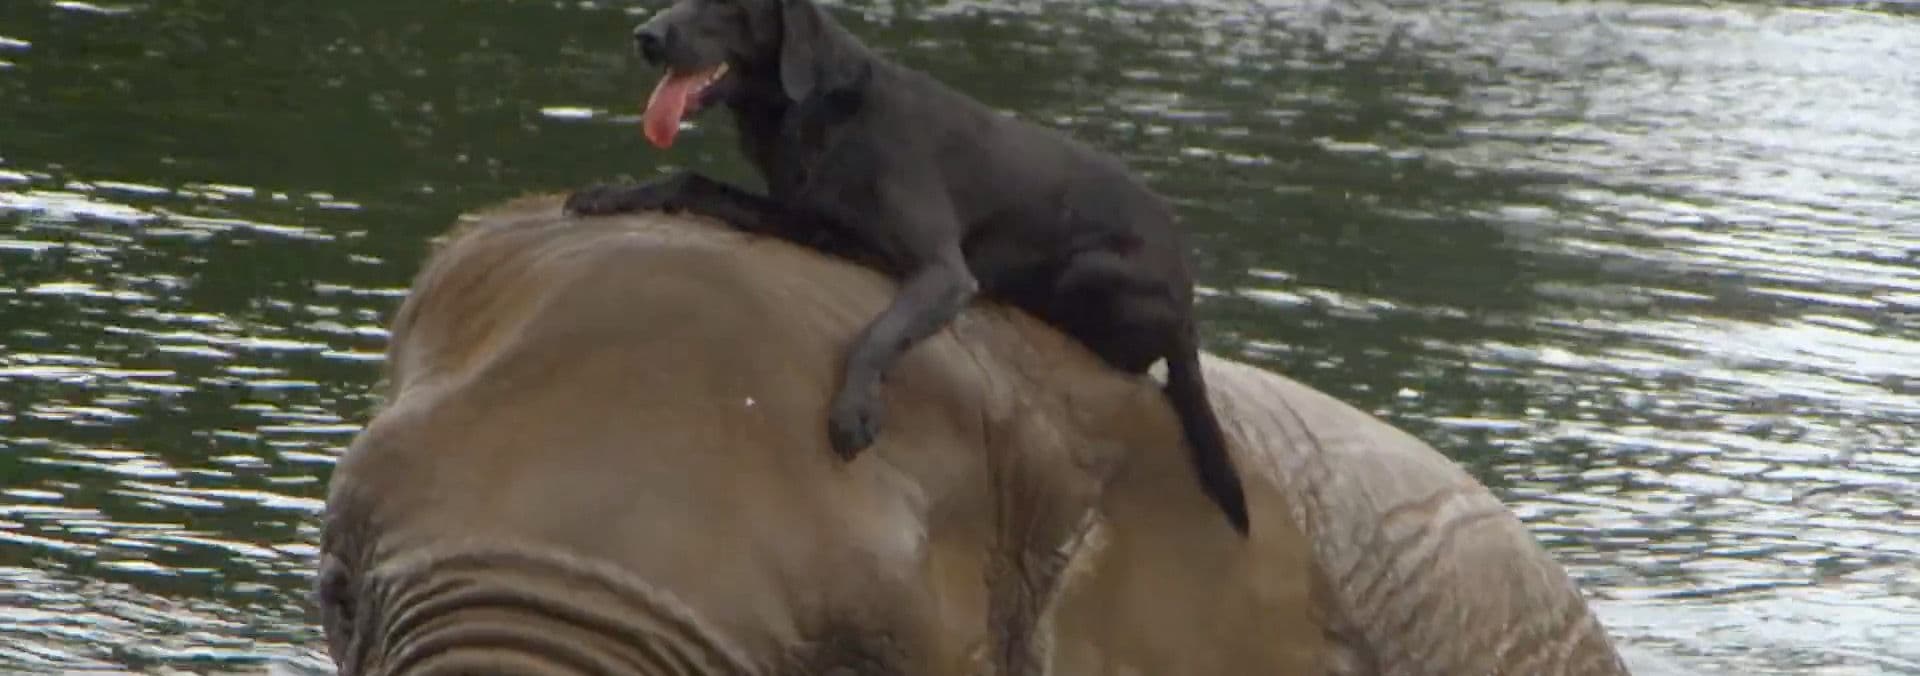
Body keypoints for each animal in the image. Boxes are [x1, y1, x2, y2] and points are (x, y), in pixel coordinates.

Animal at [564, 0, 1250, 536]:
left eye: (724, 2)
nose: (646, 36)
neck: (815, 110)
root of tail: (1188, 299)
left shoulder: (943, 269)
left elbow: (878, 332)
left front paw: (854, 411)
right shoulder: (805, 218)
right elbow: (691, 179)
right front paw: (608, 193)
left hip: (1091, 269)